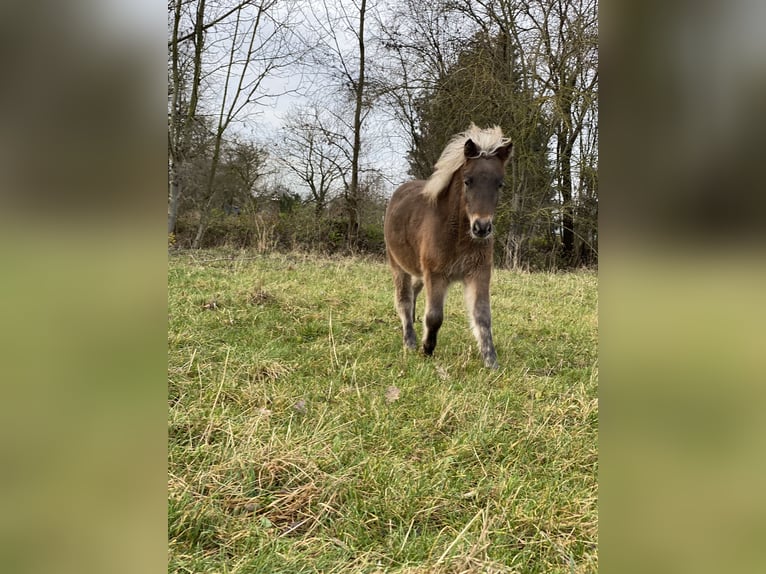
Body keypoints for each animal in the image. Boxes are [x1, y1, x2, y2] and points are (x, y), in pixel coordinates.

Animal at [384, 124, 516, 372]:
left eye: (500, 184)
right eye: (467, 181)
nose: (482, 228)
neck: (458, 237)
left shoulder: (479, 273)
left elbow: (483, 316)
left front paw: (491, 361)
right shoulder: (436, 275)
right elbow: (434, 316)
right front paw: (427, 350)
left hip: (419, 270)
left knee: (414, 292)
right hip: (398, 265)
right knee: (403, 298)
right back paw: (410, 340)